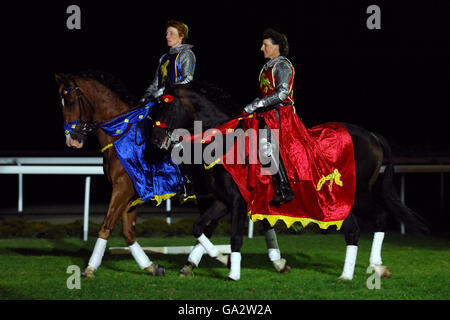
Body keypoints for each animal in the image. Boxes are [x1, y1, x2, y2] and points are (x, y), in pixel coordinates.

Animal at [55, 72, 167, 278]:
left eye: (72, 102)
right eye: (61, 103)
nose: (71, 140)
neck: (120, 134)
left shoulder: (123, 188)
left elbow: (106, 226)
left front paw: (90, 268)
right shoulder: (131, 193)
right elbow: (128, 233)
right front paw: (150, 266)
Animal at [149, 82, 428, 280]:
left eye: (166, 107)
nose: (155, 139)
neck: (225, 142)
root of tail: (371, 135)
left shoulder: (238, 202)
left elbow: (235, 237)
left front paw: (232, 271)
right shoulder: (222, 201)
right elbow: (199, 228)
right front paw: (212, 261)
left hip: (357, 195)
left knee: (378, 218)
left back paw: (369, 269)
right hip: (337, 203)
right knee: (353, 229)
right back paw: (353, 273)